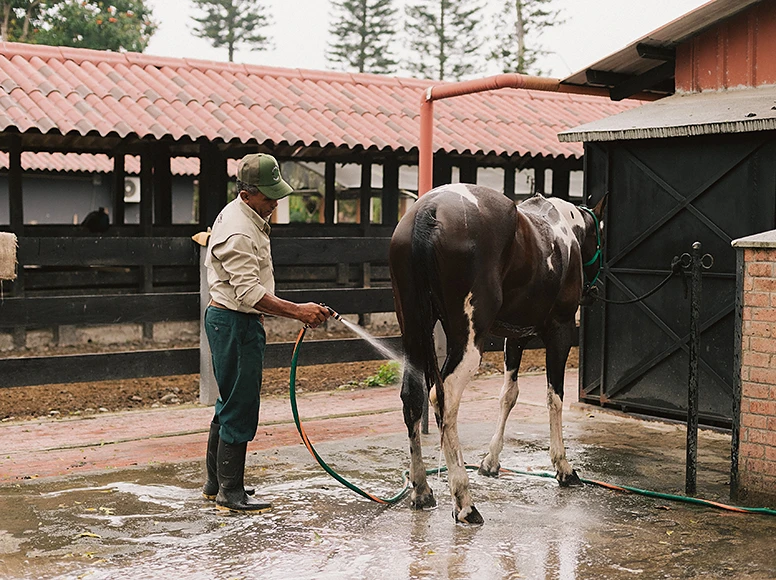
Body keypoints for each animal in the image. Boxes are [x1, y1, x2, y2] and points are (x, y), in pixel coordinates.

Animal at [389, 184, 605, 524]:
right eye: (600, 239)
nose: (593, 292)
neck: (563, 233)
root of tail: (429, 210)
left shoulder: (515, 338)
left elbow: (509, 395)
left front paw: (490, 461)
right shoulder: (560, 332)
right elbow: (554, 397)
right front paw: (563, 467)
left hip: (412, 330)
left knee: (412, 396)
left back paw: (421, 489)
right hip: (467, 343)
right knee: (444, 398)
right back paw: (464, 501)